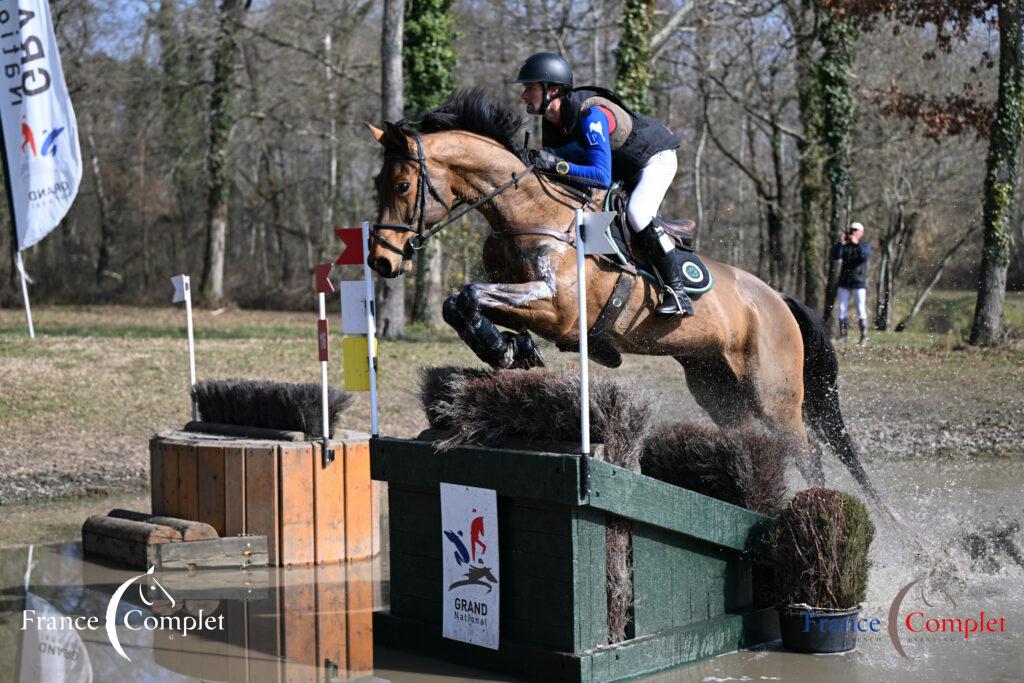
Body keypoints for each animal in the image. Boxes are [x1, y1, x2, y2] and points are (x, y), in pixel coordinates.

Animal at [370, 89, 888, 507]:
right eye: (378, 184)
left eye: (402, 185)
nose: (381, 261)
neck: (529, 211)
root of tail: (777, 299)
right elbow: (458, 303)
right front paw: (511, 350)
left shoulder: (557, 309)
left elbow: (472, 294)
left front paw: (503, 349)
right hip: (719, 389)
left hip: (774, 395)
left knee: (807, 453)